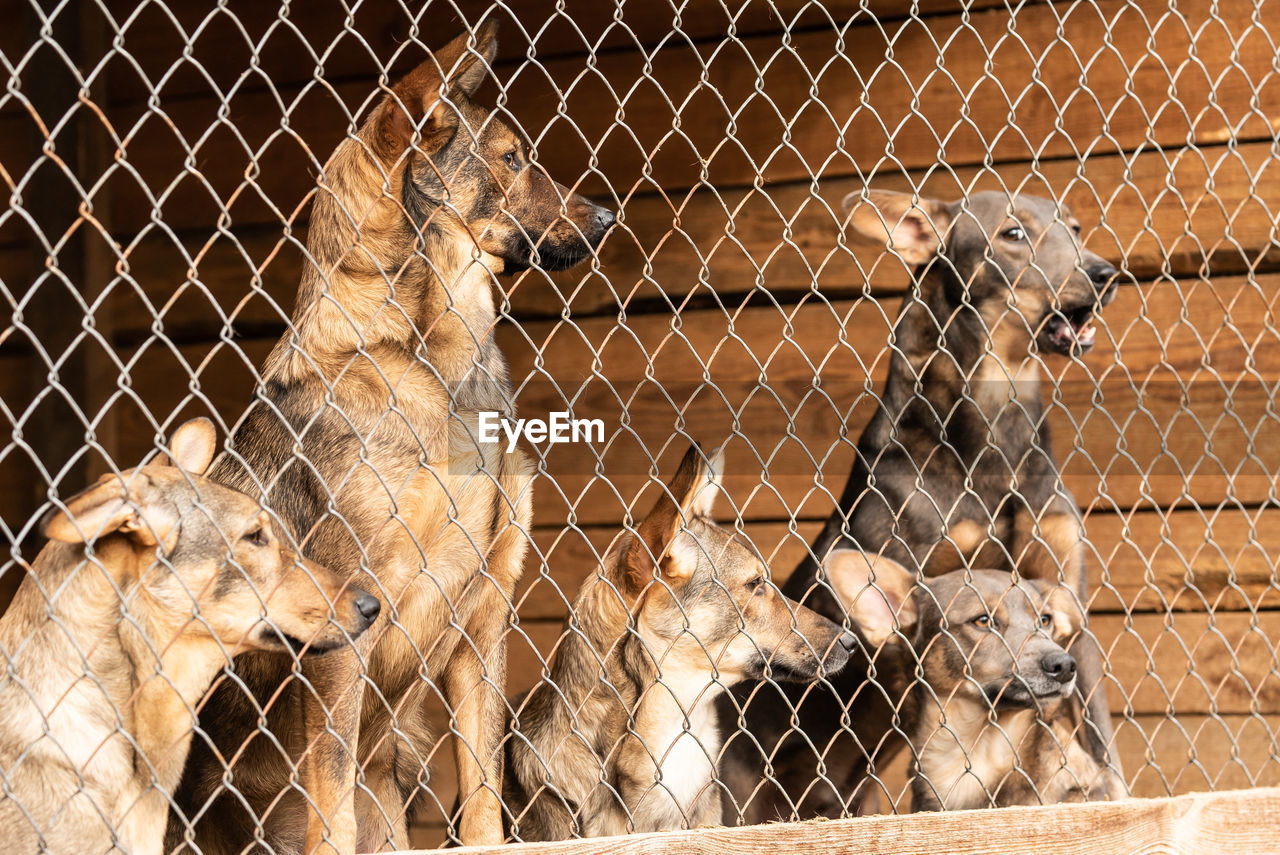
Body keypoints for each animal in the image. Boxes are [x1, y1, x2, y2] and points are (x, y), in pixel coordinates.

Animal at [168, 19, 614, 855]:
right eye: (512, 158)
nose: (608, 217)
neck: (433, 364)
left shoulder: (484, 613)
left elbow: (481, 794)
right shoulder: (344, 624)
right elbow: (332, 801)